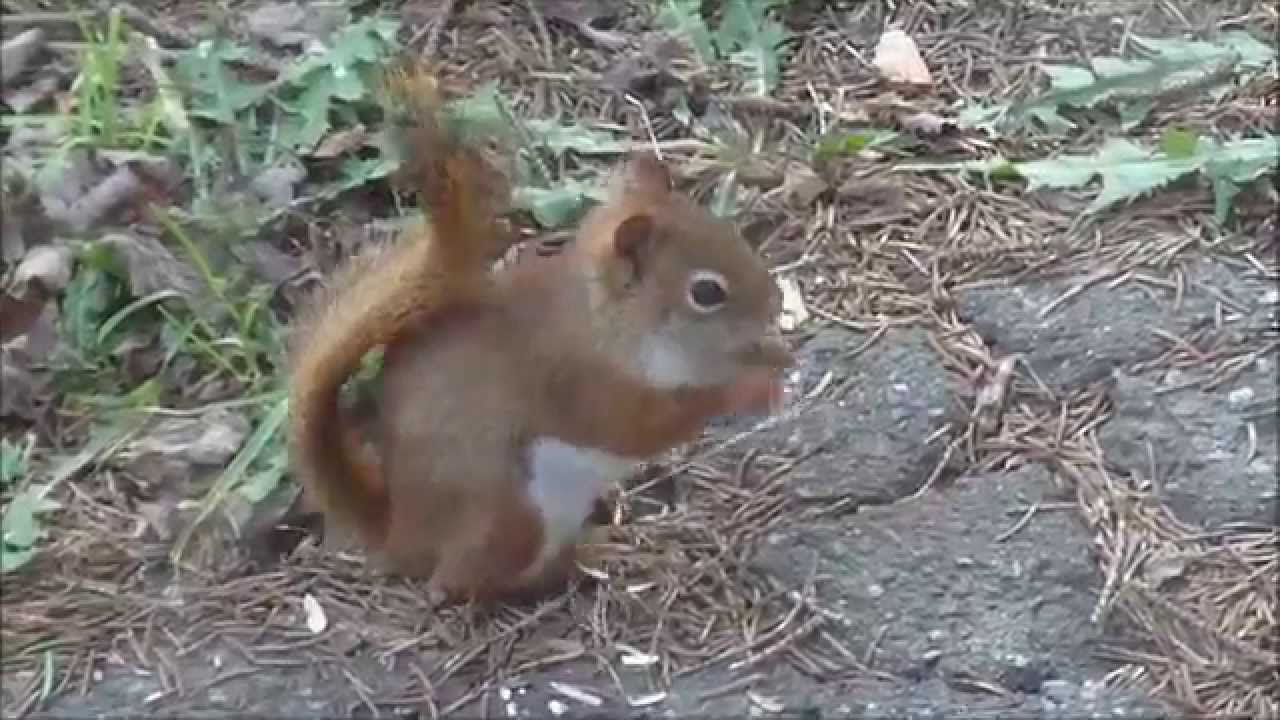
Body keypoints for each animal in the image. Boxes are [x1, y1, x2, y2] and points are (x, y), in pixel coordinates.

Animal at [286, 63, 794, 605]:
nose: (774, 302)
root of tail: (400, 534)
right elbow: (647, 426)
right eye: (706, 292)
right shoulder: (585, 383)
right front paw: (745, 389)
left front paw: (773, 355)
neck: (607, 319)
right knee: (463, 582)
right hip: (513, 514)